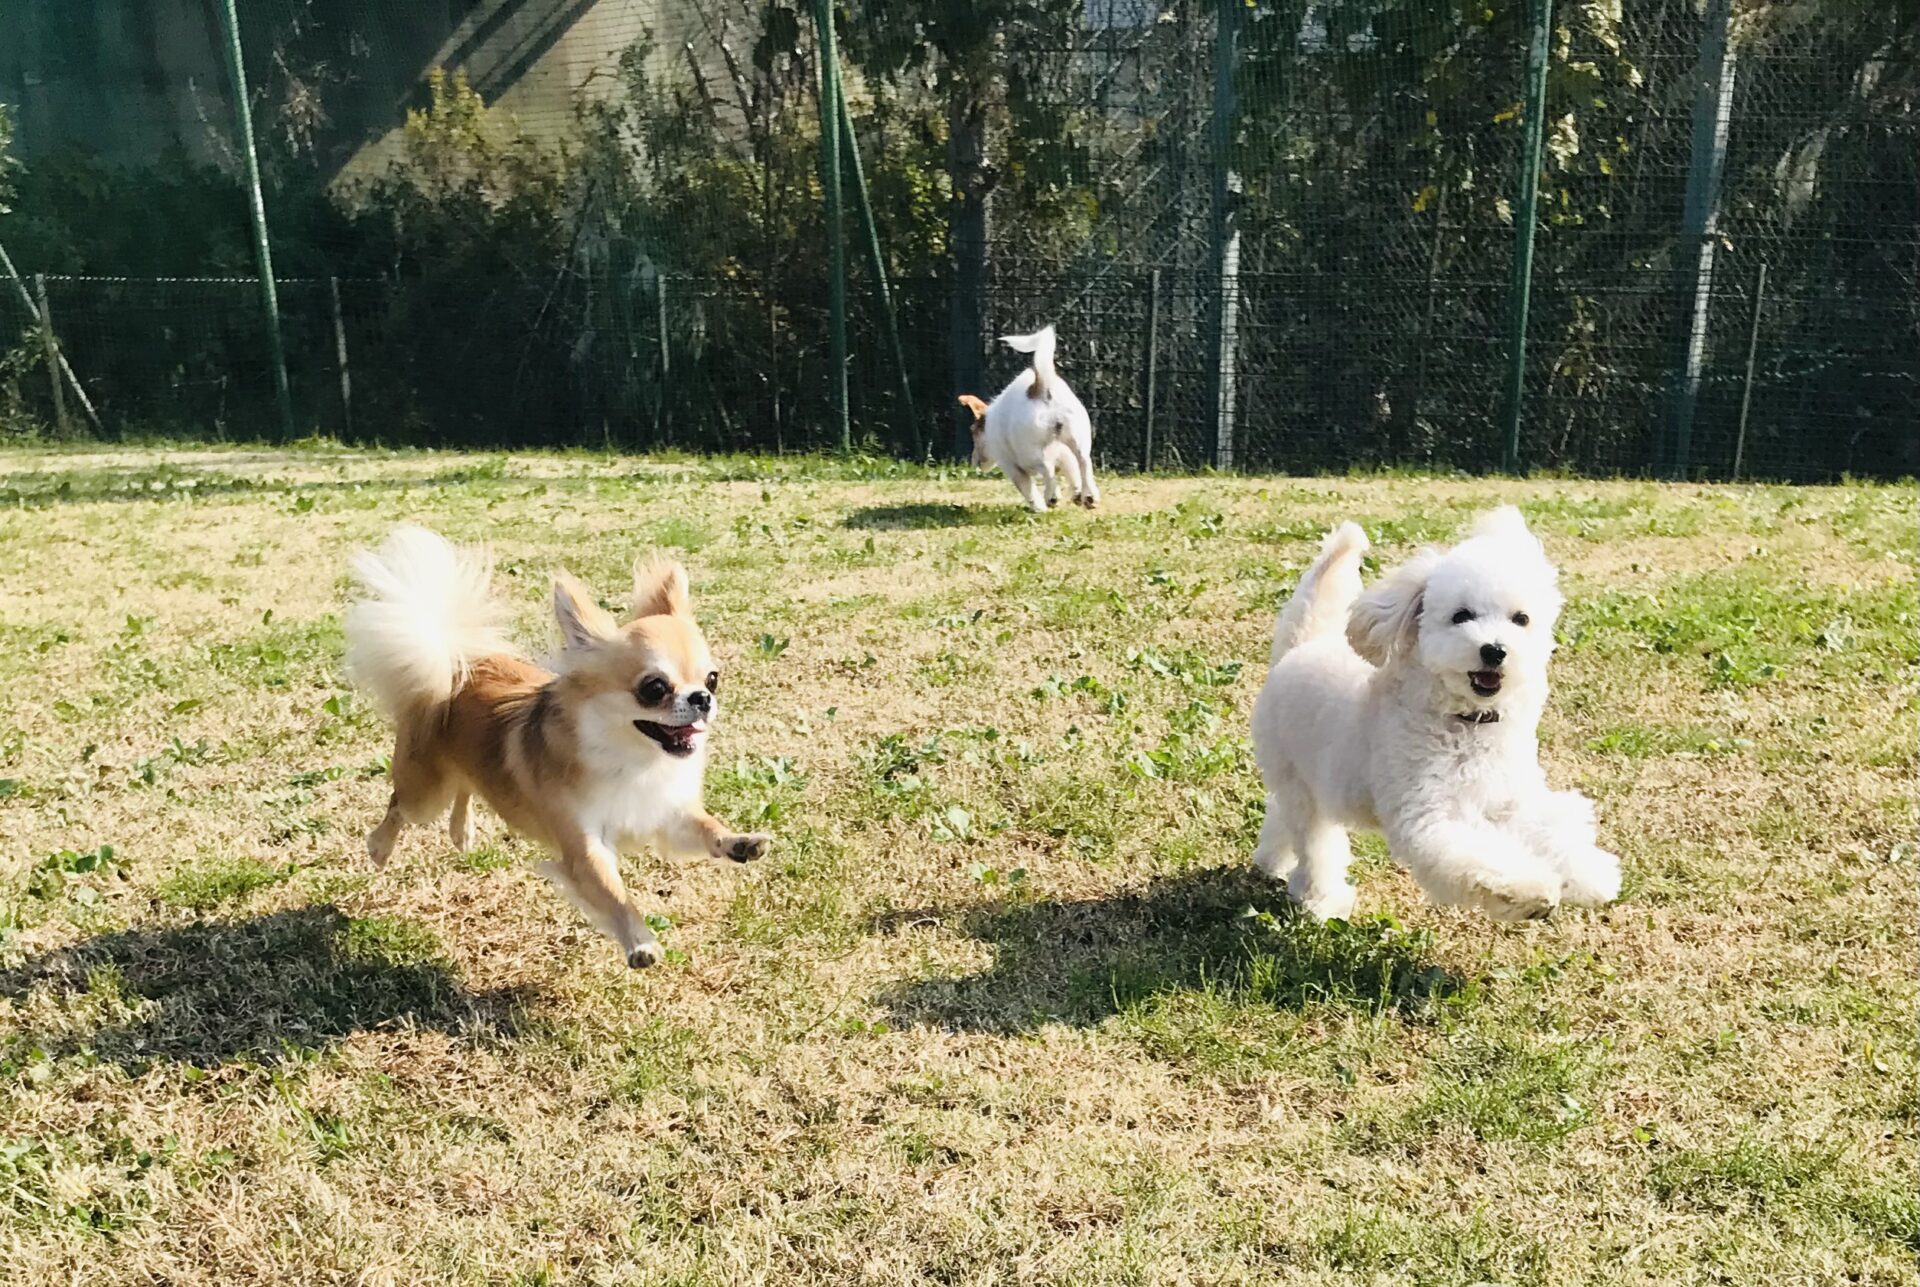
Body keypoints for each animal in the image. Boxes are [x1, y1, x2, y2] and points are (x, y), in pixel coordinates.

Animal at [343, 526, 771, 968]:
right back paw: (380, 847)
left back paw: (462, 832)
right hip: (425, 793)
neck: (633, 758)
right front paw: (640, 942)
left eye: (713, 678)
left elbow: (707, 827)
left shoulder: (668, 813)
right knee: (399, 805)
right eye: (653, 688)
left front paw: (738, 842)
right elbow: (613, 892)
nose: (702, 698)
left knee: (467, 787)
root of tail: (456, 663)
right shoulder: (584, 847)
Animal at [961, 324, 1099, 512]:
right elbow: (1072, 471)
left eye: (972, 433)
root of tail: (1040, 387)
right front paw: (1077, 493)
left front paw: (1039, 506)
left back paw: (1051, 496)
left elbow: (1027, 488)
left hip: (1029, 453)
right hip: (1078, 440)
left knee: (1047, 468)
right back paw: (1089, 496)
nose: (973, 463)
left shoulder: (1011, 466)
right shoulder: (1064, 453)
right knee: (1084, 462)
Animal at [1248, 507, 1621, 922]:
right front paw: (1531, 889)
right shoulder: (1430, 816)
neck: (1467, 724)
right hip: (1298, 780)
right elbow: (1484, 858)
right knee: (1315, 844)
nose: (1495, 650)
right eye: (1461, 616)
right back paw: (1321, 899)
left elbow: (1552, 827)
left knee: (1281, 816)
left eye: (1521, 619)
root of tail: (1300, 646)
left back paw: (1273, 860)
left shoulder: (1510, 795)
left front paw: (1590, 873)